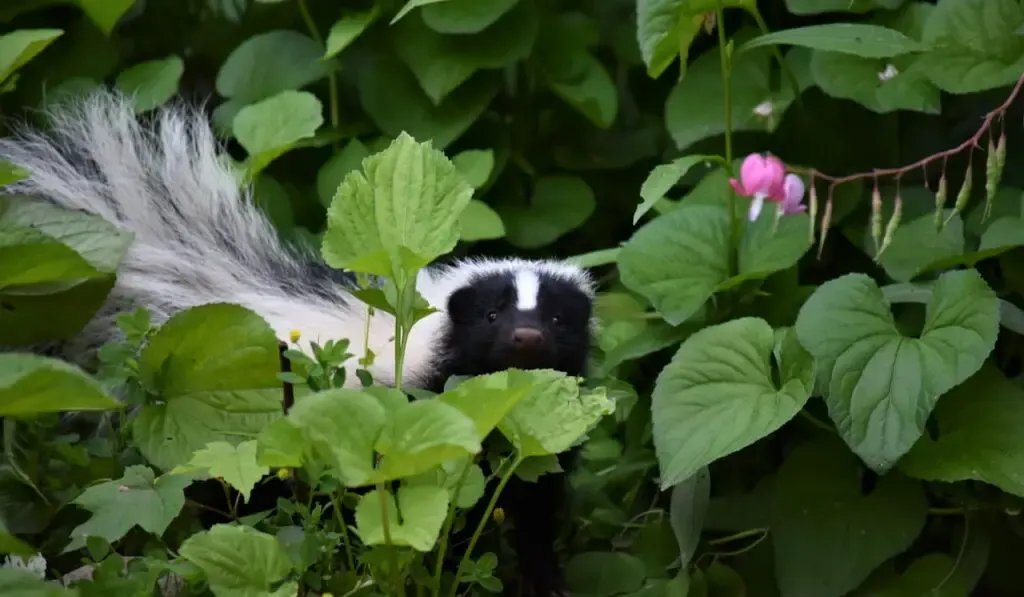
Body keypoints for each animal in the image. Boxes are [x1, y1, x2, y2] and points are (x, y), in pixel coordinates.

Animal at [0, 91, 598, 593]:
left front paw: (548, 582)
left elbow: (535, 515)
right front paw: (438, 574)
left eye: (556, 319)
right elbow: (434, 515)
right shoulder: (420, 422)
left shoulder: (536, 446)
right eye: (493, 316)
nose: (526, 337)